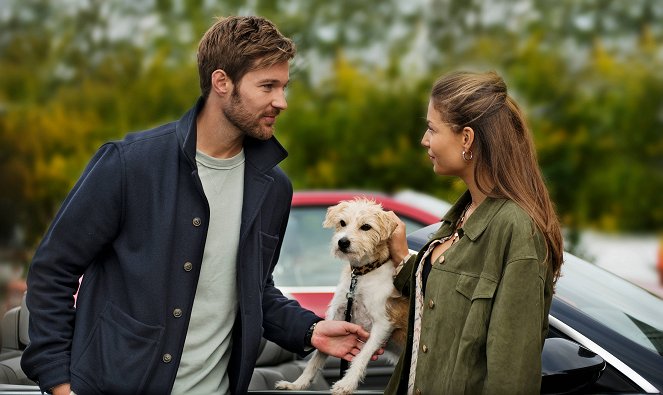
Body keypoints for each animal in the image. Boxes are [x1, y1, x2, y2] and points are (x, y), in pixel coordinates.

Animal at [276, 200, 410, 394]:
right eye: (342, 223)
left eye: (366, 226)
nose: (343, 242)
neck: (362, 275)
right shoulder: (338, 314)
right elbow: (316, 358)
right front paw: (298, 384)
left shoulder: (382, 323)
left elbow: (362, 356)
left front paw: (347, 384)